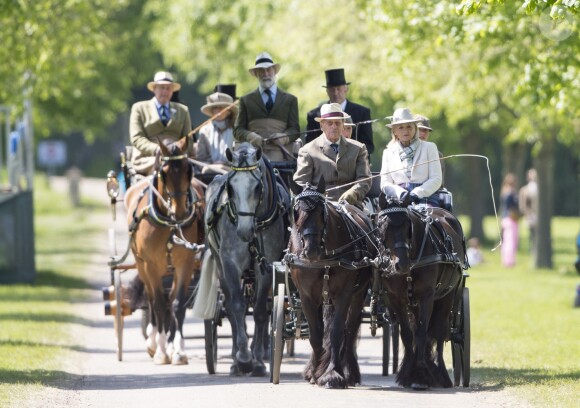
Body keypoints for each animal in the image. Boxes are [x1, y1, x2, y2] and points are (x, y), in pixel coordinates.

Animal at [124, 139, 204, 364]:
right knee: (152, 300)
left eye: (189, 169)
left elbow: (177, 304)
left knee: (169, 302)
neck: (170, 222)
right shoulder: (151, 264)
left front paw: (177, 350)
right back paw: (153, 342)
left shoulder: (185, 263)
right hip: (142, 265)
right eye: (164, 172)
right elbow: (158, 304)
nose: (181, 212)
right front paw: (160, 350)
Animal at [284, 180, 376, 388]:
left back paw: (349, 372)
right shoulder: (307, 297)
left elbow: (335, 332)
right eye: (296, 212)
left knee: (350, 329)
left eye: (321, 212)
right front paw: (314, 373)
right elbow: (316, 334)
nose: (310, 251)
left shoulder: (344, 295)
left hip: (358, 295)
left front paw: (332, 373)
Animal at [376, 200, 466, 388]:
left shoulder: (427, 296)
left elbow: (423, 332)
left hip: (447, 297)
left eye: (407, 226)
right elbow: (408, 334)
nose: (401, 264)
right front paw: (409, 373)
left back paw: (440, 373)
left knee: (439, 332)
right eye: (382, 226)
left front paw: (421, 374)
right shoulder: (398, 299)